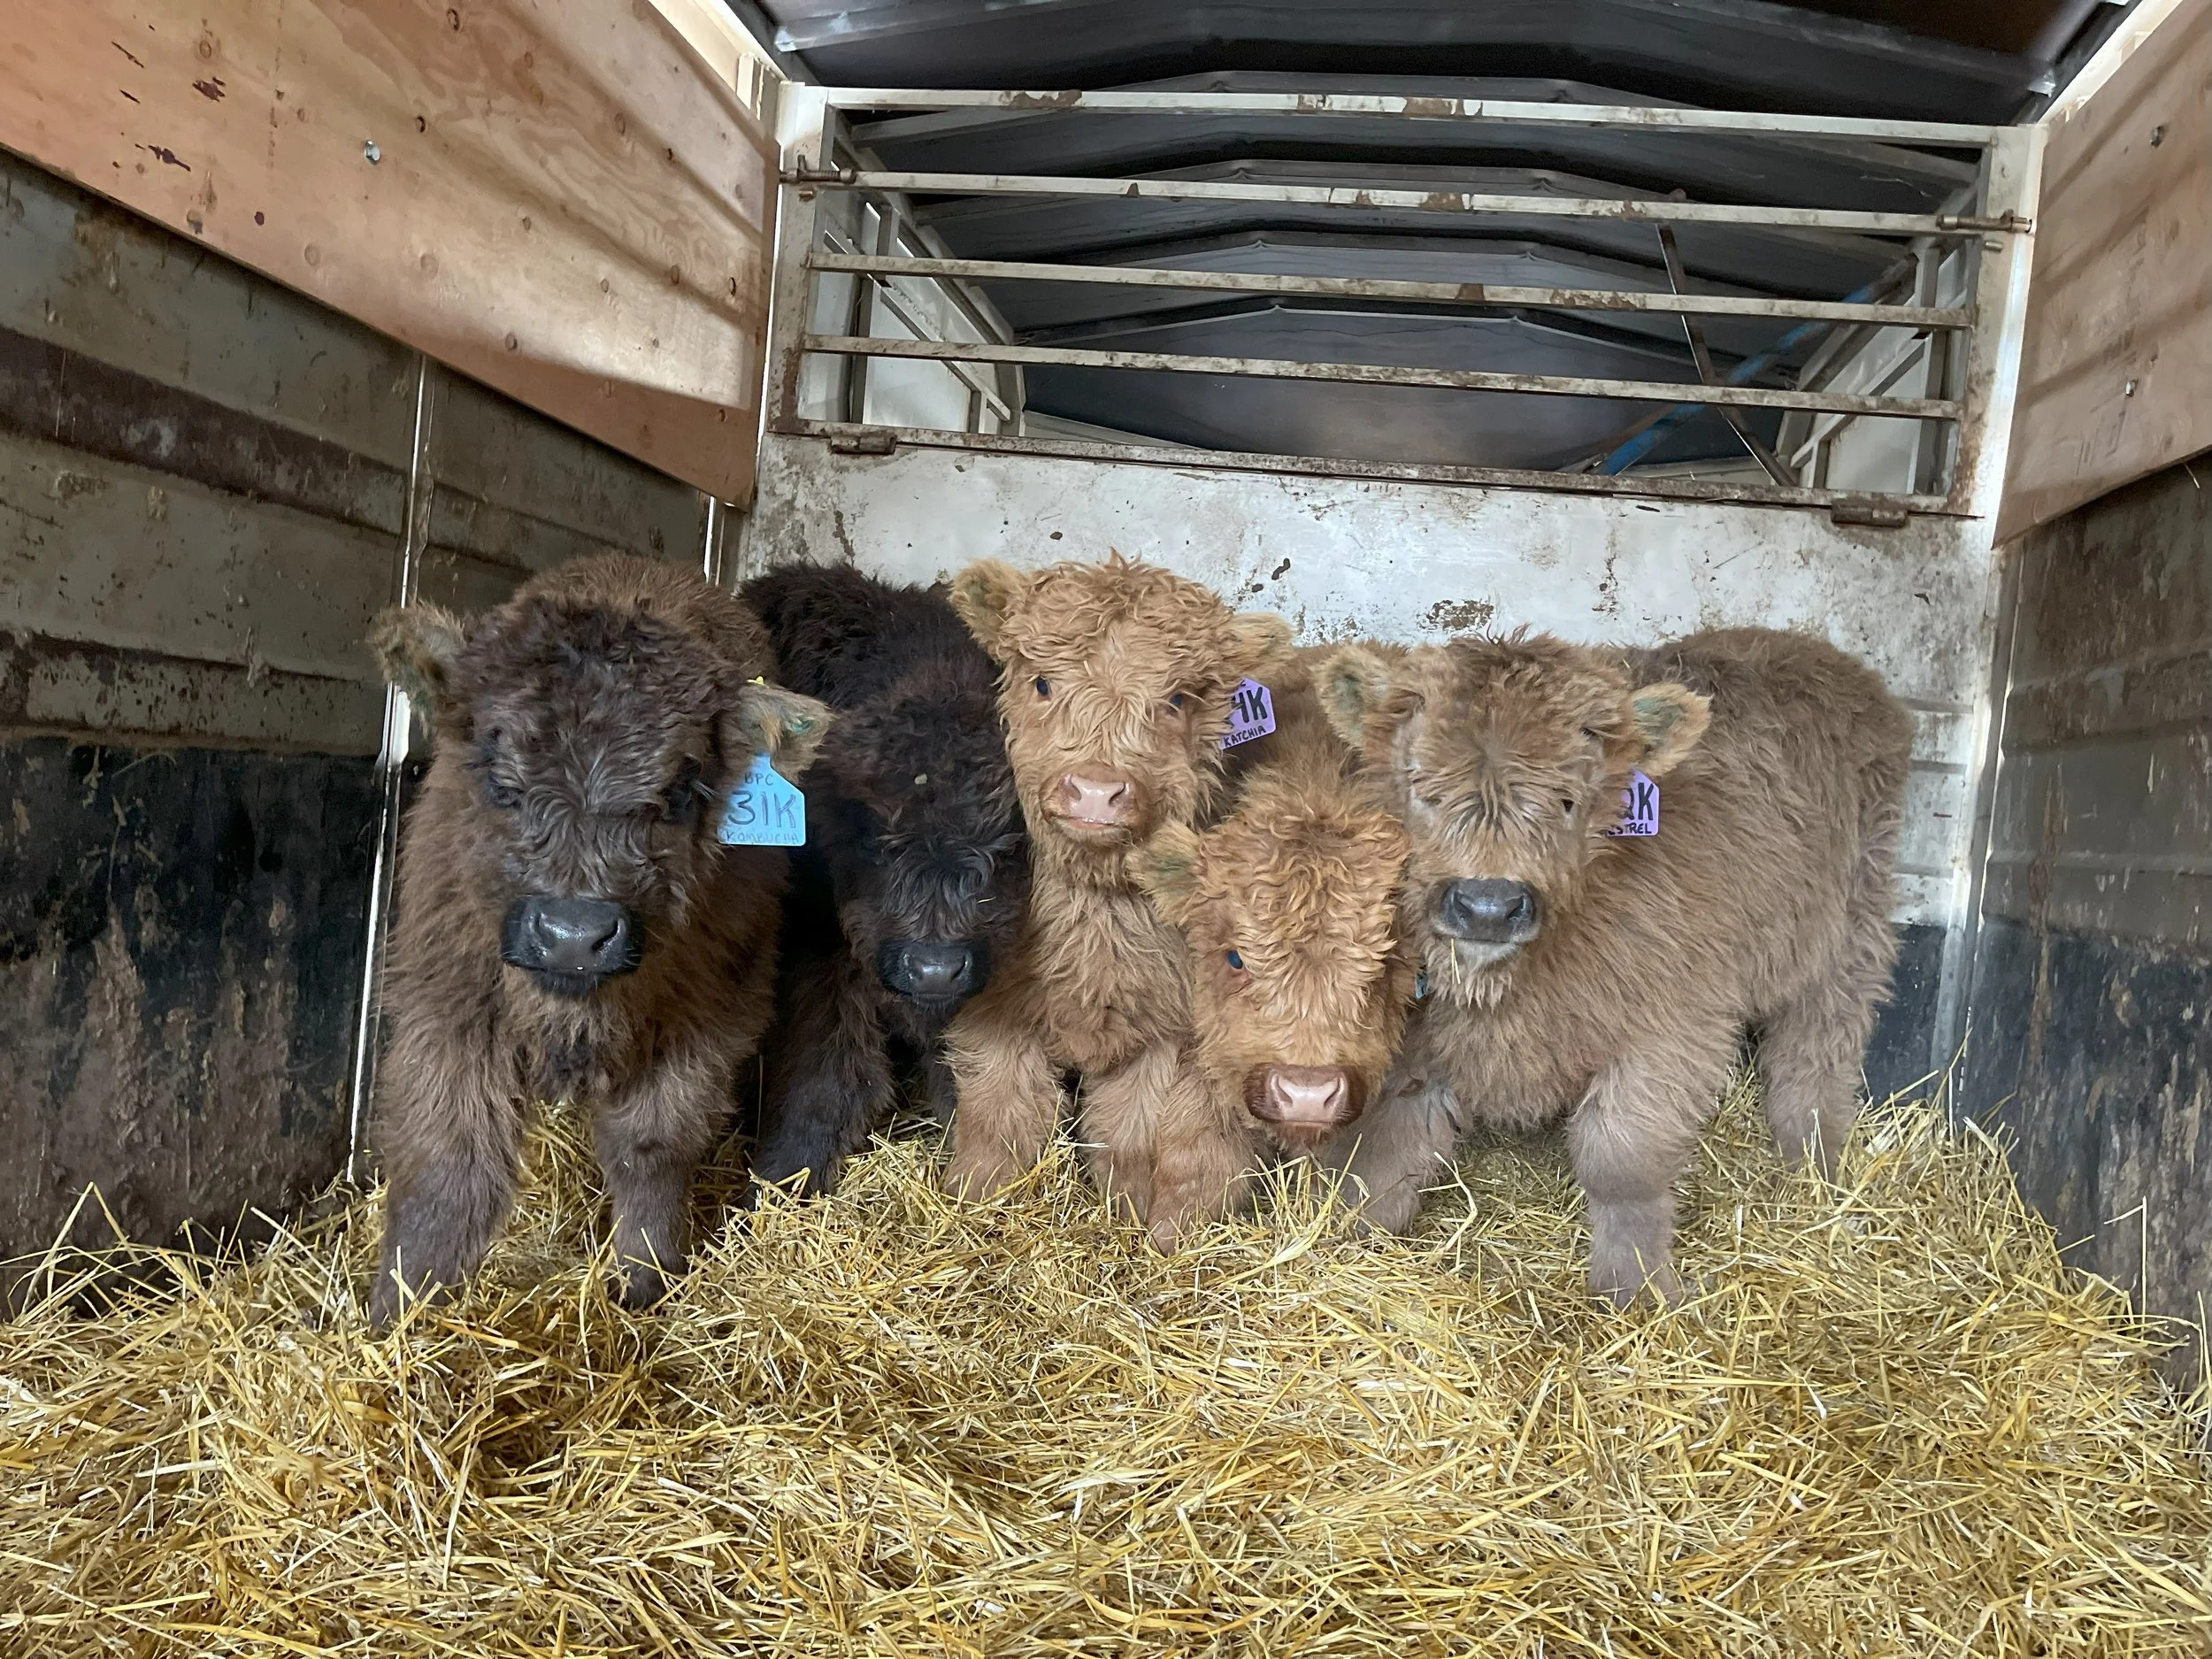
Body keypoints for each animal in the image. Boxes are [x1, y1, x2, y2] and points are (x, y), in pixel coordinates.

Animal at [365, 554, 833, 1324]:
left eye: (678, 794)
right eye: (501, 783)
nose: (572, 936)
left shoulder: (705, 1025)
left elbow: (651, 1150)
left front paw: (644, 1283)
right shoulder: (447, 1011)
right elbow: (447, 1168)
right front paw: (402, 1311)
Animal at [739, 565, 1028, 1197]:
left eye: (1008, 840)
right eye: (875, 838)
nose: (935, 968)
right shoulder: (819, 951)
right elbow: (825, 1075)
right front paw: (783, 1177)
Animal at [939, 553, 1291, 1247]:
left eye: (1176, 699)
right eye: (1042, 683)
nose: (1097, 791)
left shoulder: (1163, 1032)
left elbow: (1128, 1131)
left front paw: (1127, 1210)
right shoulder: (994, 1007)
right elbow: (1001, 1114)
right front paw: (979, 1198)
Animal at [1313, 627, 1912, 1304]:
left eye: (1568, 800)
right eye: (1422, 788)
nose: (1488, 905)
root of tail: (1808, 647)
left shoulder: (1675, 1034)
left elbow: (1620, 1162)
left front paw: (1638, 1286)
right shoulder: (1421, 1041)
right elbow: (1387, 1144)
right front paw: (1349, 1236)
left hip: (1855, 916)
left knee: (1821, 1043)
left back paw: (1812, 1158)